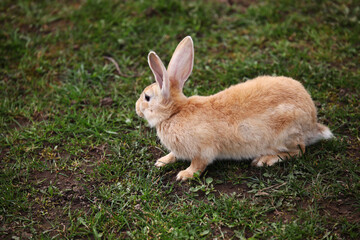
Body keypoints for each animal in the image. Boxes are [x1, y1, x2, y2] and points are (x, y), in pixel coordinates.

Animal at [136, 36, 334, 180]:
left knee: (299, 150)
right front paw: (161, 161)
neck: (175, 113)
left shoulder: (204, 150)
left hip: (285, 134)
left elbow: (198, 164)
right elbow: (173, 155)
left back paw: (264, 160)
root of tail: (312, 123)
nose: (137, 108)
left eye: (147, 97)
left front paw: (184, 175)